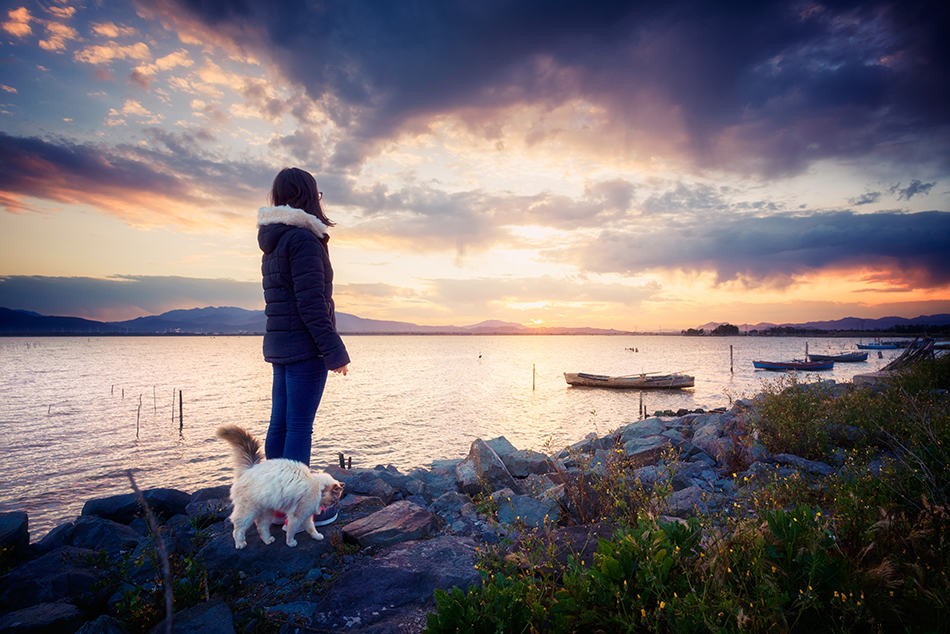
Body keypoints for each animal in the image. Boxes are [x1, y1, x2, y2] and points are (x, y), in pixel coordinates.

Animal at [217, 424, 346, 548]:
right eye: (335, 499)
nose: (334, 505)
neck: (316, 486)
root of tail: (249, 469)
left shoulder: (306, 516)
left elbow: (311, 528)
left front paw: (317, 536)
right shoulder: (297, 515)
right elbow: (291, 531)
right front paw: (291, 543)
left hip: (266, 511)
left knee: (261, 527)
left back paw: (268, 540)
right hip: (248, 512)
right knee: (238, 529)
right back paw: (240, 544)